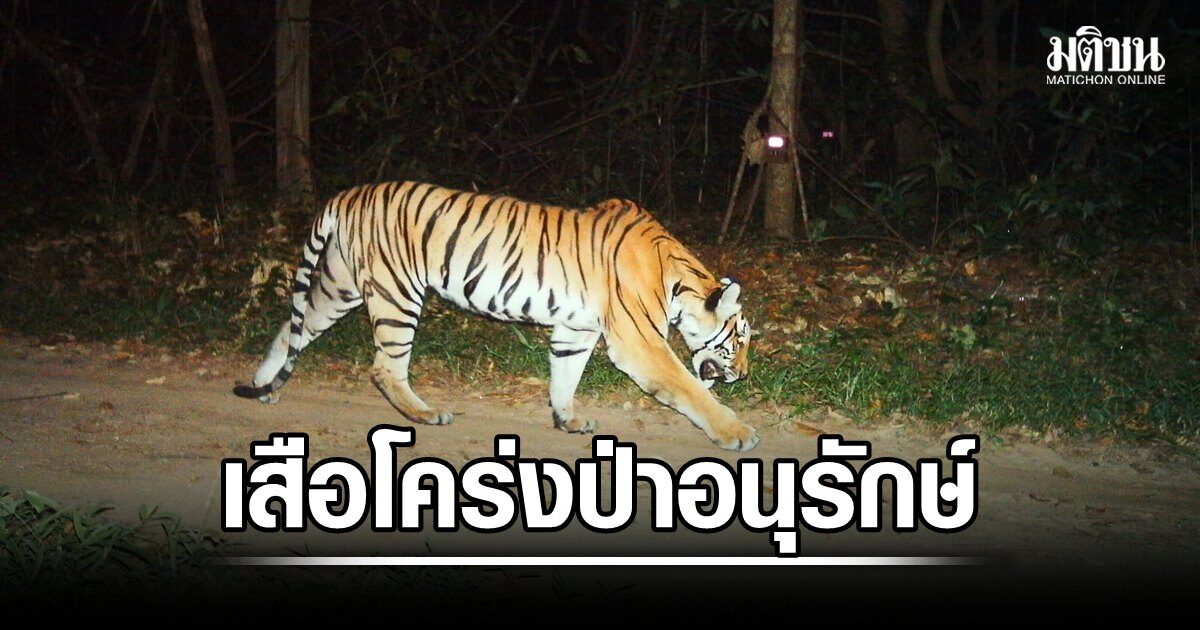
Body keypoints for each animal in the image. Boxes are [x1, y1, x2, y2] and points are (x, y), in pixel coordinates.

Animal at [233, 181, 758, 451]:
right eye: (738, 341)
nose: (744, 374)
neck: (677, 279)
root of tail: (346, 195)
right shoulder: (640, 342)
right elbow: (690, 388)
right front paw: (737, 433)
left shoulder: (575, 329)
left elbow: (565, 376)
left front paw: (567, 420)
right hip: (397, 292)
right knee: (384, 367)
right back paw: (427, 414)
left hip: (342, 285)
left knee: (293, 326)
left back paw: (264, 387)